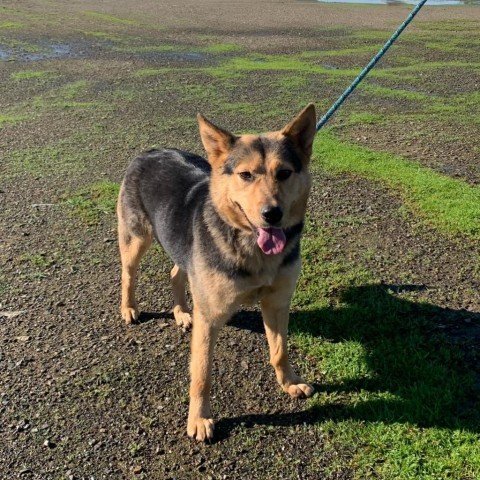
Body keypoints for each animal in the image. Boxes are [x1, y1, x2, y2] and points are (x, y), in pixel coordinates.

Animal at [118, 105, 316, 442]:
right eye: (246, 175)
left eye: (284, 173)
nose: (272, 214)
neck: (251, 246)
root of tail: (150, 151)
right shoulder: (210, 317)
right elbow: (201, 375)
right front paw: (199, 419)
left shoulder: (277, 303)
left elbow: (280, 351)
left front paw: (289, 382)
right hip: (136, 240)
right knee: (128, 274)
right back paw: (129, 308)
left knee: (175, 272)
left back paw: (182, 312)